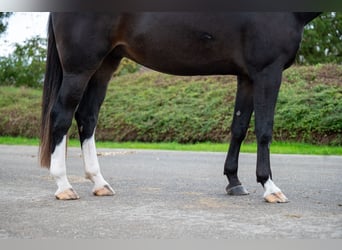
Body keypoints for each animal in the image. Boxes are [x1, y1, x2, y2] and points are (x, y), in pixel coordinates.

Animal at [40, 12, 320, 202]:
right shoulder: (267, 72)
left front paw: (234, 181)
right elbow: (264, 129)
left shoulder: (247, 77)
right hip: (80, 68)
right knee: (61, 116)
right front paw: (270, 187)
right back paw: (64, 186)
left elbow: (239, 127)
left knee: (87, 117)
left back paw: (99, 183)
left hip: (105, 64)